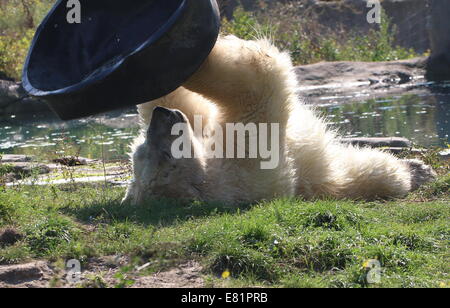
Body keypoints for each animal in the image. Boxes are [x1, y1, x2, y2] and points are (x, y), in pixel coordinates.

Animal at [122, 35, 436, 205]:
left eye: (142, 147)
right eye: (166, 155)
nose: (163, 117)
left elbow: (185, 103)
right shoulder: (242, 165)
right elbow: (254, 91)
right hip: (321, 177)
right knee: (365, 173)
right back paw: (414, 172)